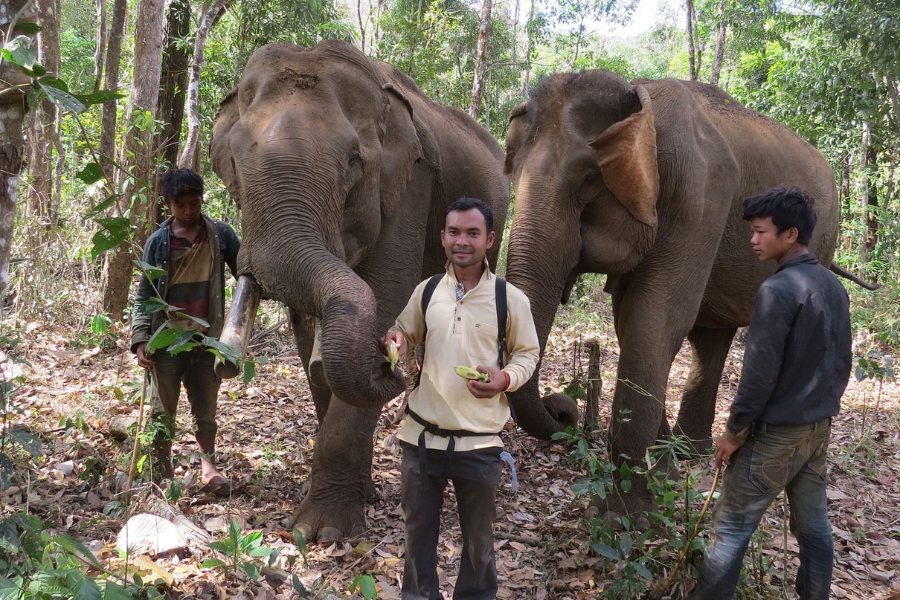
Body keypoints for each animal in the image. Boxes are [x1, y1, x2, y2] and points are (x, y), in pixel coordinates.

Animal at [209, 40, 509, 540]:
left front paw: (324, 531)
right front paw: (357, 498)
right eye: (232, 161)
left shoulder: (412, 185)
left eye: (354, 163)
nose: (392, 370)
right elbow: (312, 334)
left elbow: (388, 295)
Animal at [502, 70, 857, 513]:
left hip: (823, 241)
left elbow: (652, 321)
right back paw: (691, 451)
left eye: (589, 178)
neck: (640, 100)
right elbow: (632, 322)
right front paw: (664, 477)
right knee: (711, 336)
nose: (563, 409)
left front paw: (630, 515)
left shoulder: (700, 199)